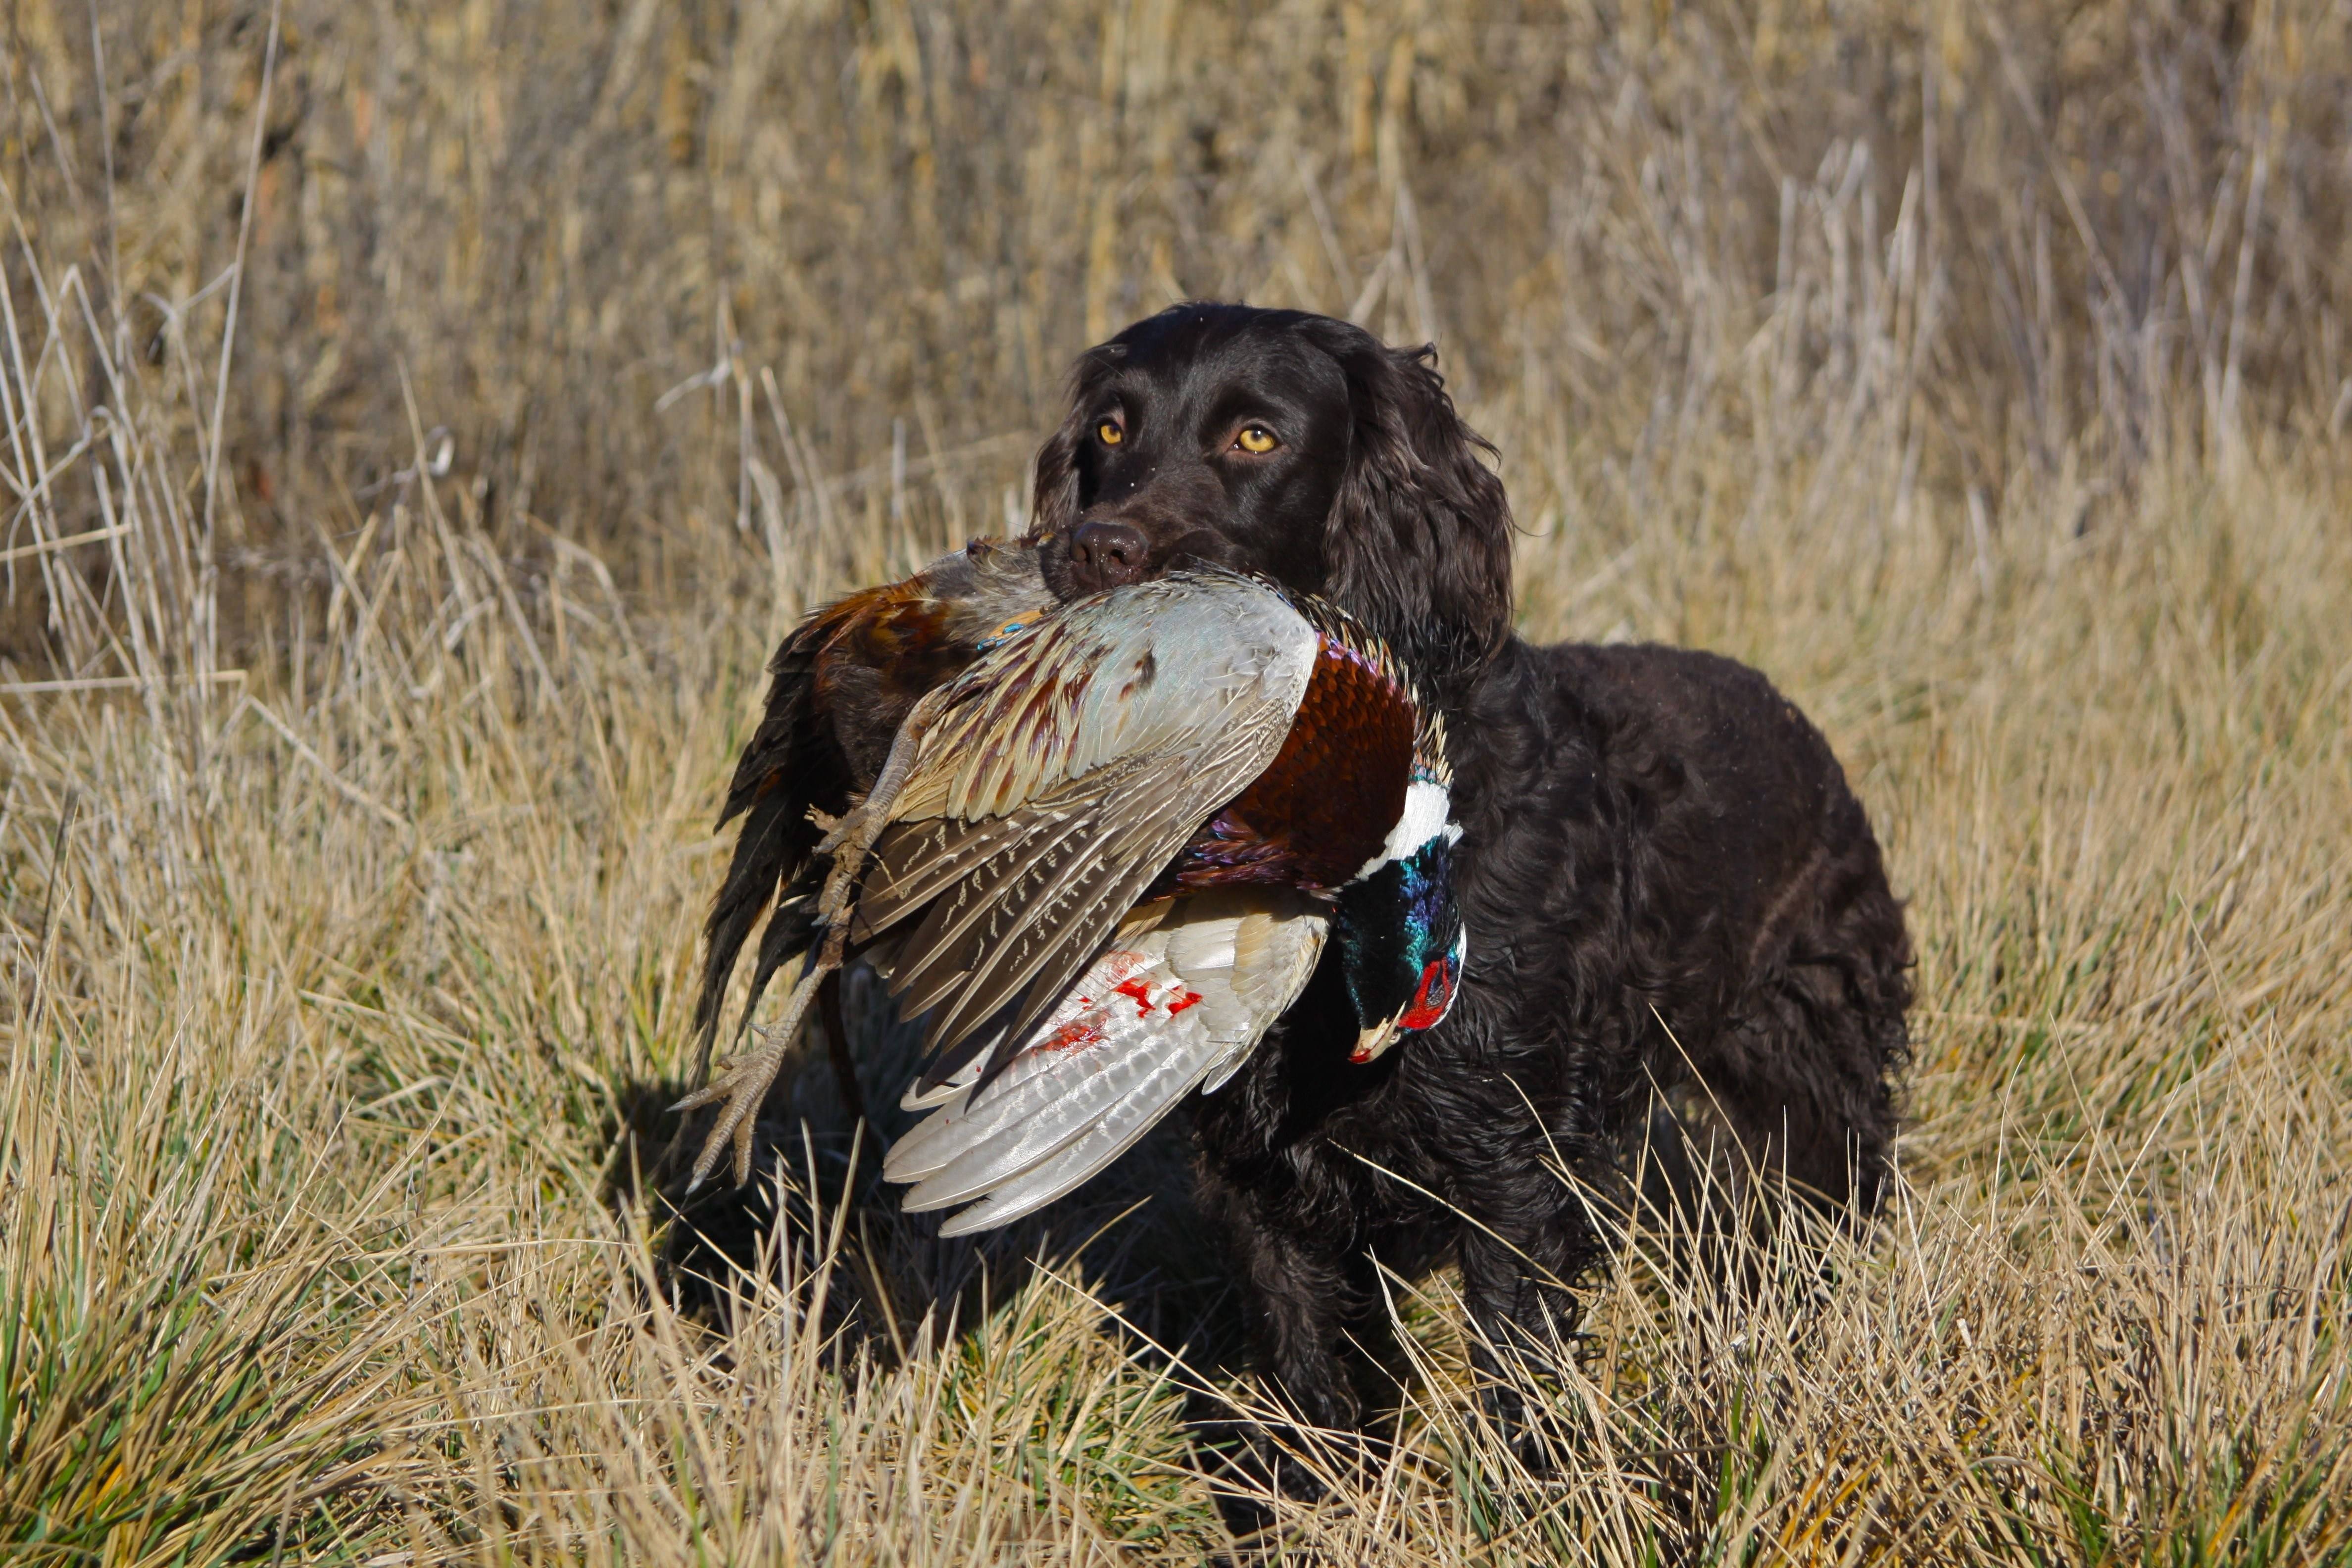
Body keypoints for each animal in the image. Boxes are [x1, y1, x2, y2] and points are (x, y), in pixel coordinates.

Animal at [1030, 303, 1910, 1448]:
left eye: (1256, 436)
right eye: (1110, 429)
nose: (1097, 548)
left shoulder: (1511, 1158)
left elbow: (1519, 1376)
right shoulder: (1261, 1174)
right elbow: (1314, 1373)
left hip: (1810, 1080)